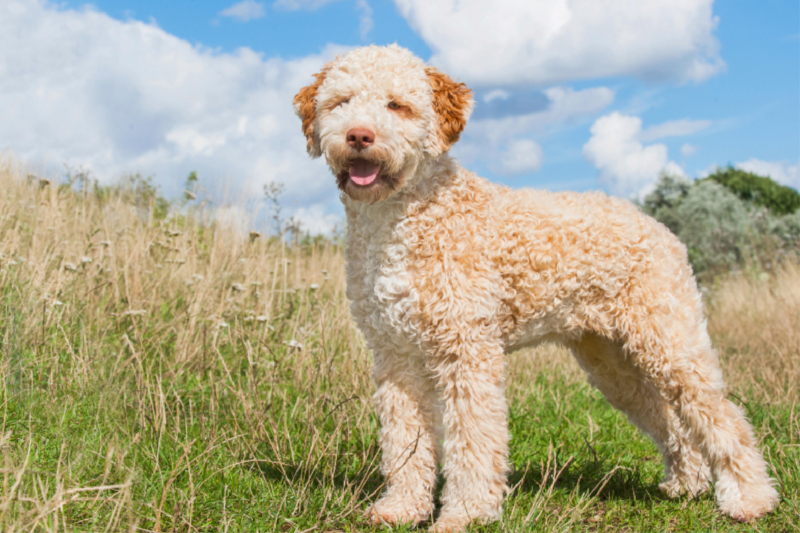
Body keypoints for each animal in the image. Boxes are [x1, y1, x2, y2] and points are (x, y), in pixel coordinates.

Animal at [290, 44, 780, 528]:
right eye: (341, 102)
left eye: (397, 105)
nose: (359, 136)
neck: (401, 218)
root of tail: (658, 226)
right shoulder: (396, 355)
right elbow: (404, 439)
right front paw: (402, 508)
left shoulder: (466, 350)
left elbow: (473, 440)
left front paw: (466, 513)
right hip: (613, 363)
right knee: (672, 422)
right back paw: (686, 482)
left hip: (670, 344)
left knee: (724, 418)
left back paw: (750, 498)